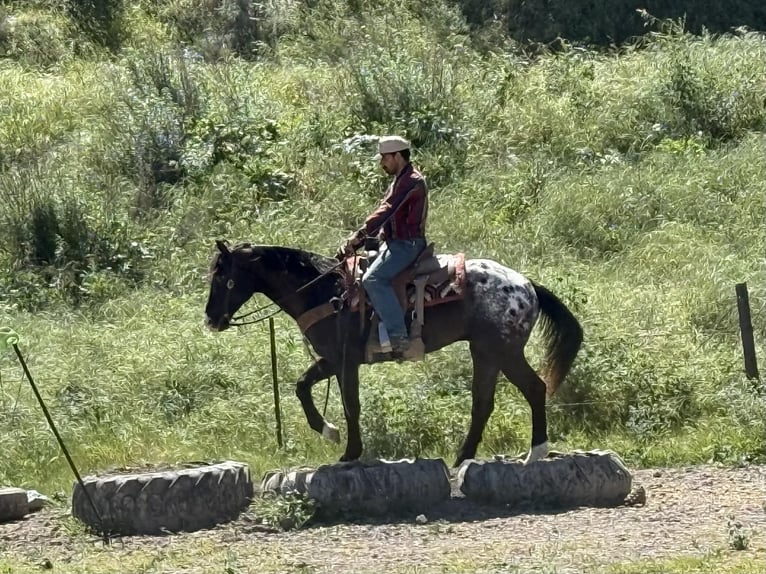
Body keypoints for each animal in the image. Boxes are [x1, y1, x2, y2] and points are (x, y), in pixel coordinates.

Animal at [204, 240, 583, 466]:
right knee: (483, 404)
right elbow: (301, 386)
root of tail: (526, 286)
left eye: (222, 279)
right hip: (485, 353)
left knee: (533, 389)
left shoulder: (345, 361)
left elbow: (350, 405)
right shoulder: (330, 359)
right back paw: (463, 458)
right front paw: (328, 431)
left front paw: (350, 452)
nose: (210, 319)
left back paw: (535, 453)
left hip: (503, 351)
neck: (325, 291)